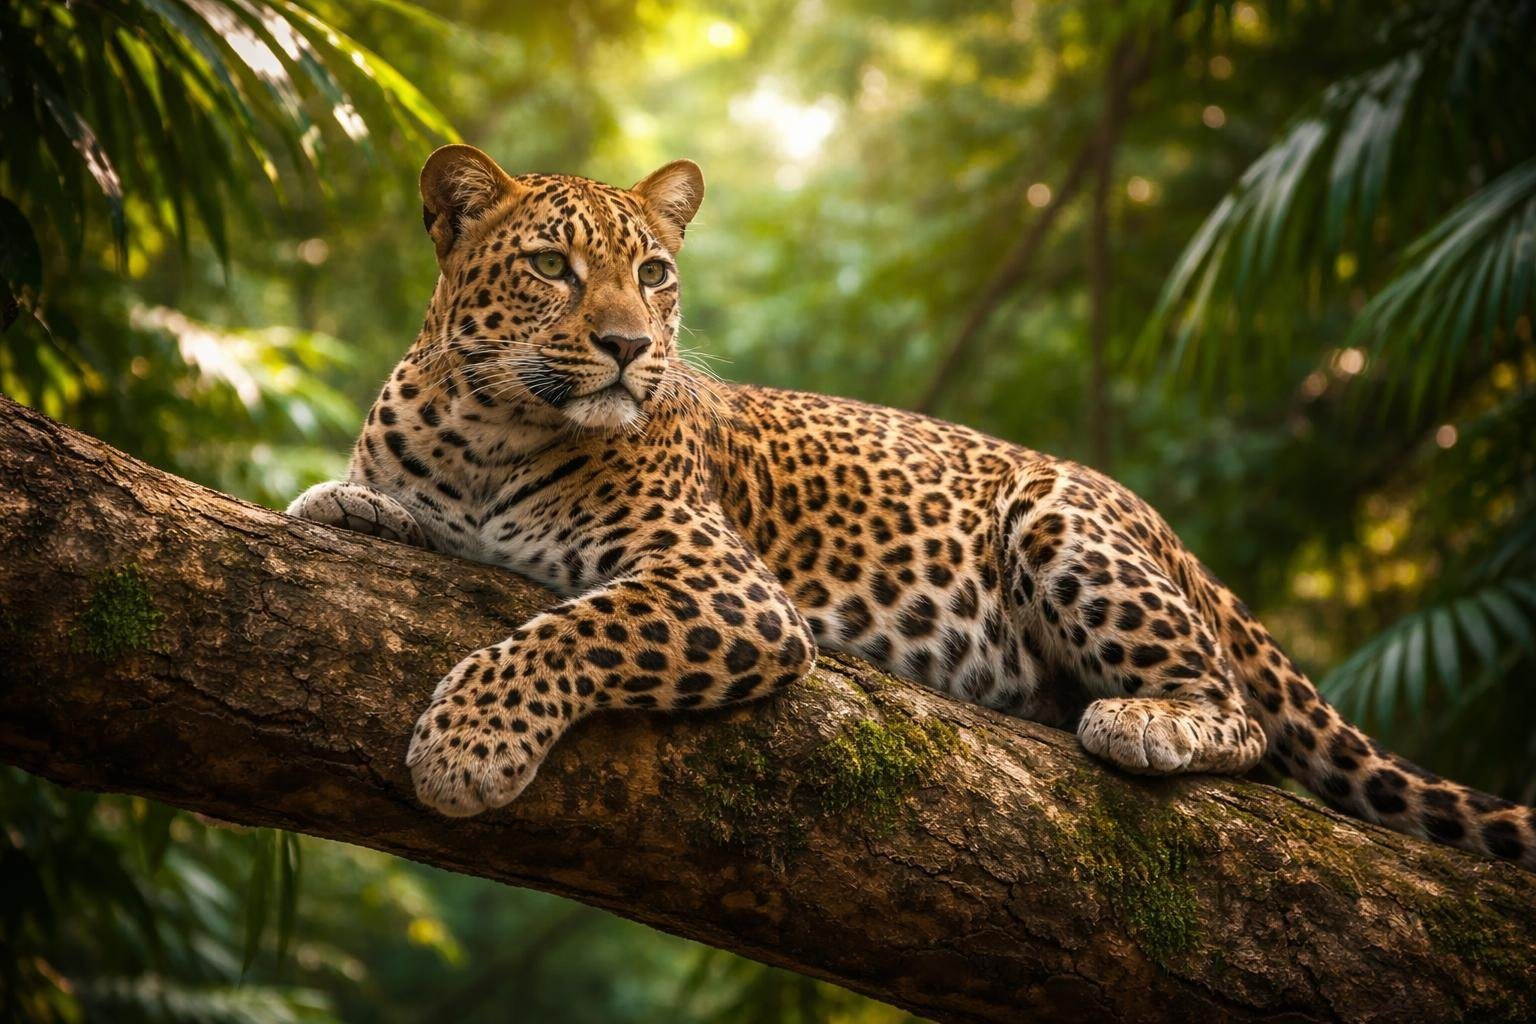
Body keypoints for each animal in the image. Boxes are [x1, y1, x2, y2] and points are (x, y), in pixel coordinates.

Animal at [288, 143, 1535, 872]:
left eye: (652, 274)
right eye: (552, 265)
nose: (630, 348)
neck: (491, 427)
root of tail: (1162, 524)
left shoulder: (725, 591)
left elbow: (569, 630)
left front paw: (468, 746)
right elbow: (366, 500)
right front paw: (346, 502)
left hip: (1056, 517)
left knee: (1241, 715)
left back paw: (1141, 720)